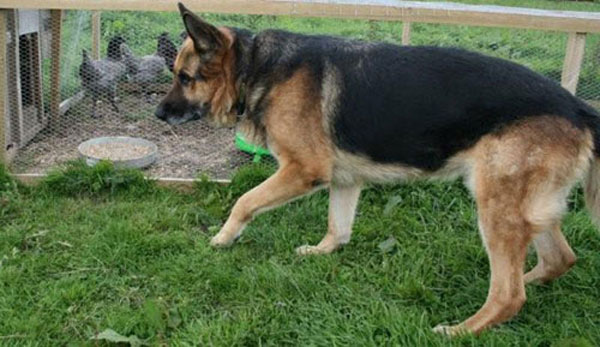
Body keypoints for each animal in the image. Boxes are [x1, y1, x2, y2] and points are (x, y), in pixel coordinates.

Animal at [156, 3, 600, 338]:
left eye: (184, 77)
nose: (158, 114)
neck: (255, 66)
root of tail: (579, 107)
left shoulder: (303, 170)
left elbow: (244, 201)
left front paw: (223, 238)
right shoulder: (344, 179)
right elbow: (339, 227)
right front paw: (322, 251)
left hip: (496, 206)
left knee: (509, 294)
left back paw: (462, 329)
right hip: (528, 209)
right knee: (558, 259)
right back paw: (528, 280)